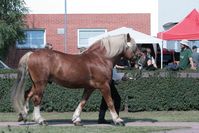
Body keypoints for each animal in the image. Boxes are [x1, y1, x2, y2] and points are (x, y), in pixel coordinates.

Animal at [10, 33, 138, 125]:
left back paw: (23, 115)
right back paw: (40, 120)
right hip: (41, 83)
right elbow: (110, 102)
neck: (100, 58)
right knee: (36, 99)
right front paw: (118, 120)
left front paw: (76, 119)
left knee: (27, 94)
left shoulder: (89, 88)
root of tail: (32, 54)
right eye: (134, 47)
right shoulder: (104, 86)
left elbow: (82, 102)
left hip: (36, 83)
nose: (137, 62)